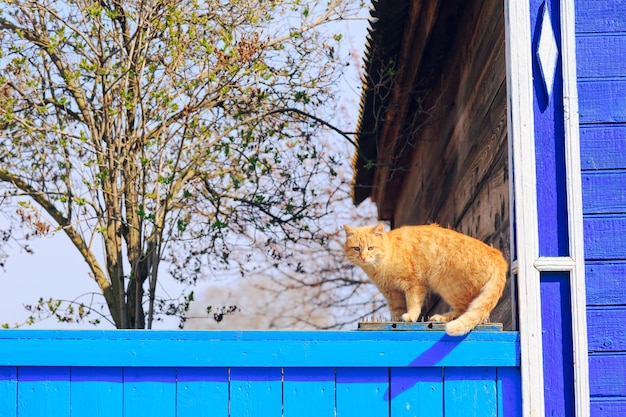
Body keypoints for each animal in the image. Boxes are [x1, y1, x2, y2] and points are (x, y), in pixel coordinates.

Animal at [342, 221, 508, 334]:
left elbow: (413, 303)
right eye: (356, 248)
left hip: (447, 285)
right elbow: (396, 312)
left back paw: (440, 318)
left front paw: (410, 316)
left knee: (467, 309)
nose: (363, 257)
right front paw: (395, 322)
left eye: (371, 248)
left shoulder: (414, 283)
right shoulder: (392, 294)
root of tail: (498, 256)